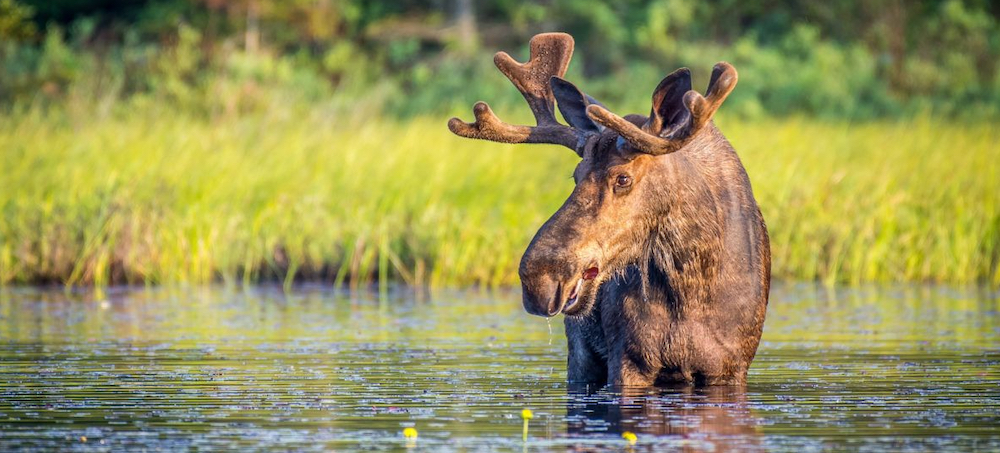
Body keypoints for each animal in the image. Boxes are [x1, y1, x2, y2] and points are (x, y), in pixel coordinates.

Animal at [450, 32, 768, 384]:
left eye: (623, 178)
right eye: (576, 175)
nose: (538, 279)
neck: (693, 286)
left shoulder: (730, 367)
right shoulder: (628, 360)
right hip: (580, 355)